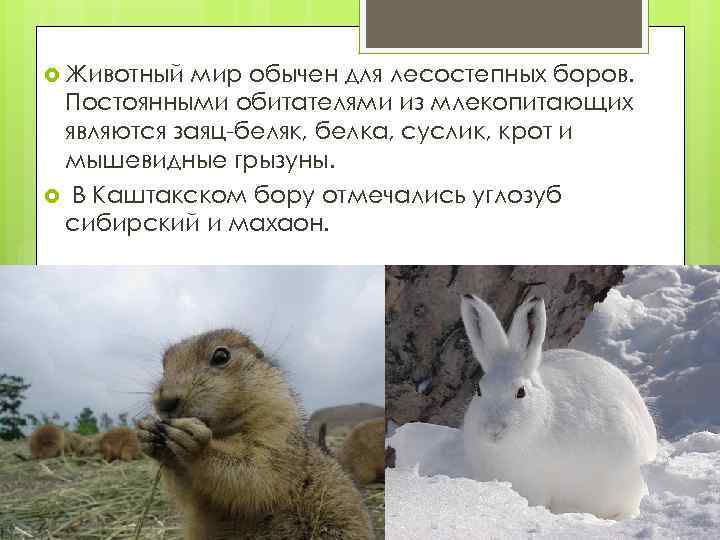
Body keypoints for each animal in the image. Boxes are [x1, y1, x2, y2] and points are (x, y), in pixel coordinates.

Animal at [137, 328, 374, 540]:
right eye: (164, 366)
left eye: (221, 356)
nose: (165, 401)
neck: (221, 430)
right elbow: (190, 497)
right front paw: (146, 432)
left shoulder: (276, 430)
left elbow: (259, 471)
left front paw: (196, 442)